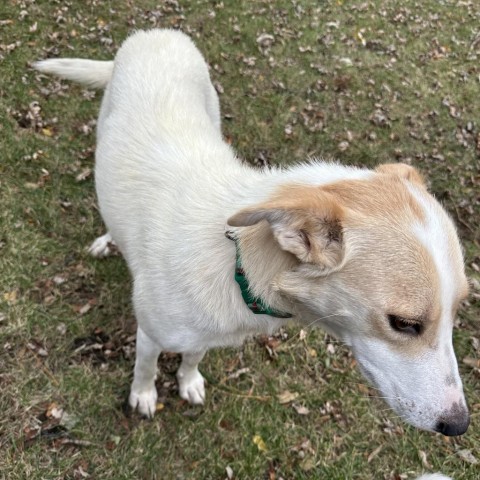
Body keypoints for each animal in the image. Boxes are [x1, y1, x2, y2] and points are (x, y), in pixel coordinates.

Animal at [33, 27, 468, 450]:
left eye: (457, 309)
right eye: (404, 324)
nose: (459, 424)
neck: (237, 264)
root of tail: (154, 33)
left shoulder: (204, 334)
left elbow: (193, 356)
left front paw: (188, 382)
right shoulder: (152, 333)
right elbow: (145, 367)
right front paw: (143, 395)